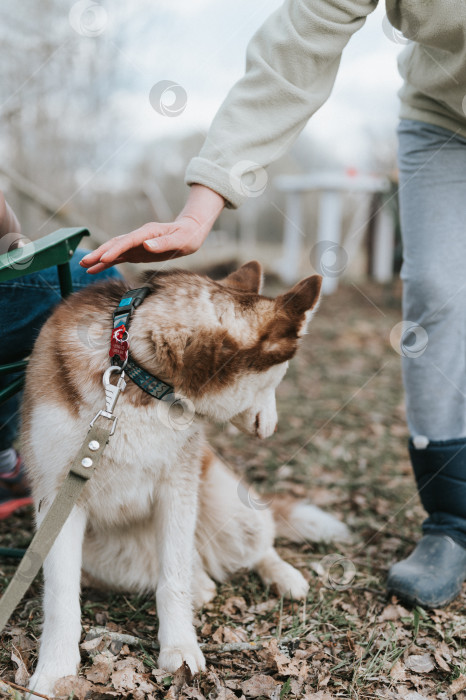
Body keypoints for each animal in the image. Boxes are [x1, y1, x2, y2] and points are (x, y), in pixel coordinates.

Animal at [22, 262, 350, 696]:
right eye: (277, 379)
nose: (273, 429)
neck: (137, 372)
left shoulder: (177, 490)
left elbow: (172, 579)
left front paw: (179, 649)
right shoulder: (60, 496)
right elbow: (61, 598)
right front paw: (56, 671)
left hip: (228, 506)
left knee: (257, 545)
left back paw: (283, 575)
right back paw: (204, 583)